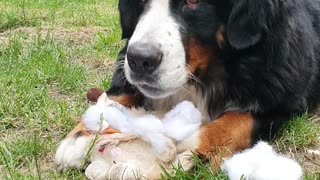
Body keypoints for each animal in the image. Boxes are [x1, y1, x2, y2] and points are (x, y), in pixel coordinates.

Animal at [57, 0, 320, 172]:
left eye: (193, 2)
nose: (140, 60)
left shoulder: (284, 99)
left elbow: (235, 122)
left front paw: (184, 145)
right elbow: (116, 96)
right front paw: (78, 139)